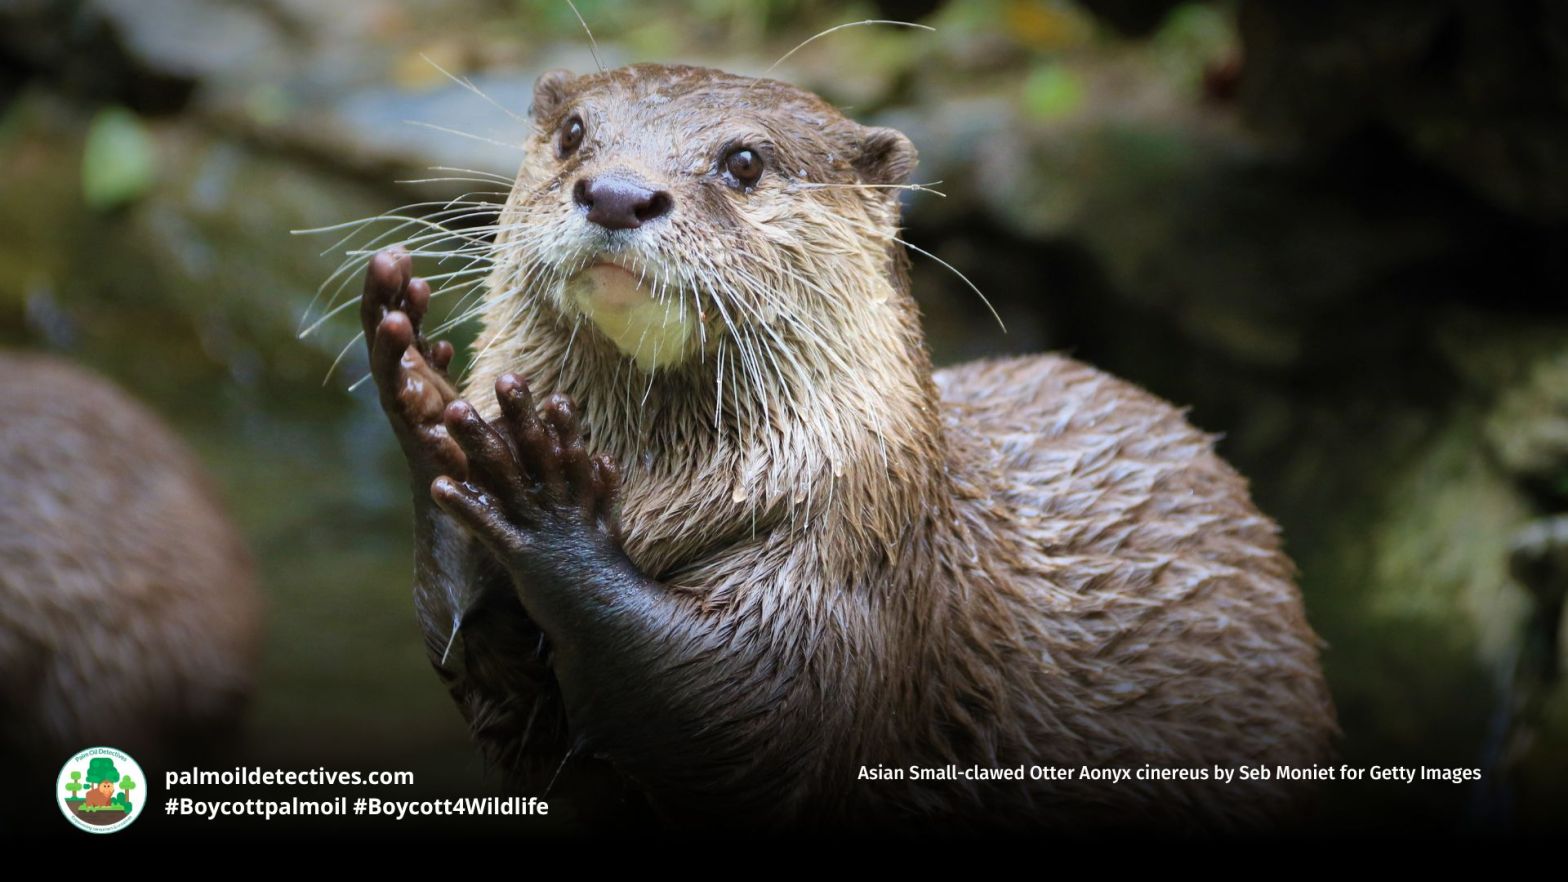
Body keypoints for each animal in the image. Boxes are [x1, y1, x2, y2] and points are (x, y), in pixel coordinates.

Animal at [357, 63, 1336, 832]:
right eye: (573, 133)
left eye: (744, 162)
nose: (617, 192)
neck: (651, 492)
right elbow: (494, 691)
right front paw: (423, 398)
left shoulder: (857, 558)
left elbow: (746, 714)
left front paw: (549, 509)